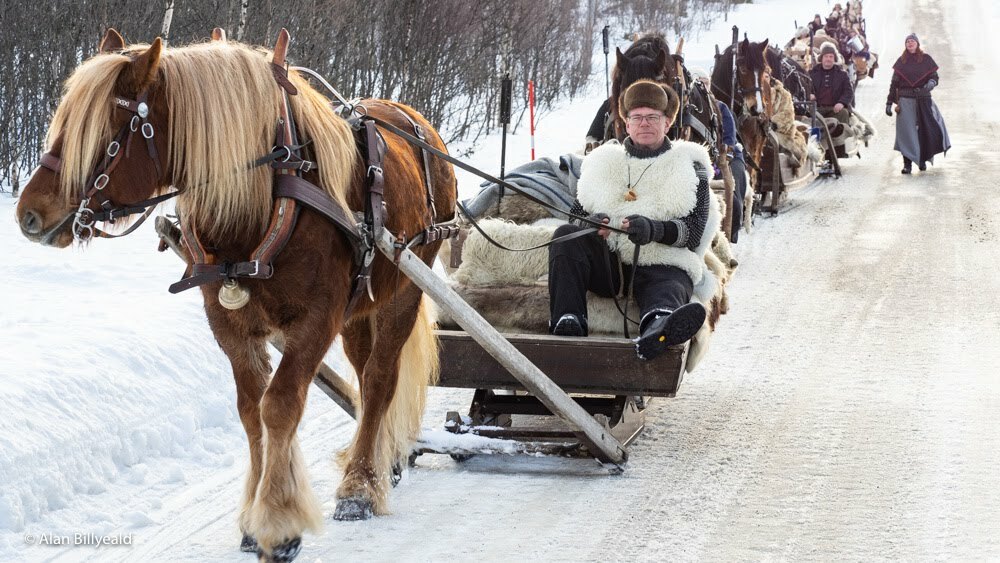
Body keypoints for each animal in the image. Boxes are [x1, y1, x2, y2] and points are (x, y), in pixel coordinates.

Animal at [14, 28, 458, 560]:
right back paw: (380, 459)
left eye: (106, 131)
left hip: (407, 287)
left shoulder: (316, 320)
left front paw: (278, 522)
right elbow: (251, 411)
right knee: (364, 368)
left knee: (378, 381)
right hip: (359, 308)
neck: (263, 197)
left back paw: (360, 485)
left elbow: (280, 405)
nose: (28, 214)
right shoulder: (230, 324)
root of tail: (417, 121)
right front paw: (253, 515)